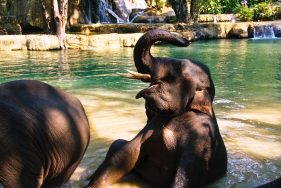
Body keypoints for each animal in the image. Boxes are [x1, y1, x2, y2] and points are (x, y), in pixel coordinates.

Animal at [86, 29, 226, 188]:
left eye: (177, 68)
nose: (186, 41)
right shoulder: (150, 128)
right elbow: (126, 154)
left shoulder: (200, 138)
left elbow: (185, 176)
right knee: (117, 144)